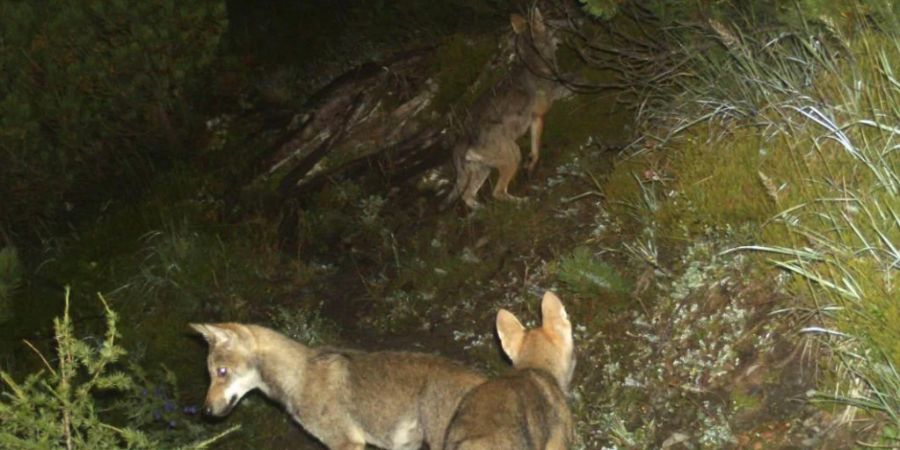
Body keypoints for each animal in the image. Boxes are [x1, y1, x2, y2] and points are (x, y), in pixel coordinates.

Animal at [442, 8, 560, 209]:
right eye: (547, 24)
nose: (558, 32)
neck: (534, 62)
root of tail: (462, 141)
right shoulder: (538, 116)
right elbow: (536, 149)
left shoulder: (535, 120)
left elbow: (534, 150)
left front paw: (530, 166)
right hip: (513, 156)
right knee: (497, 193)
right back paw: (522, 202)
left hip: (484, 169)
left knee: (468, 196)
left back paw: (481, 210)